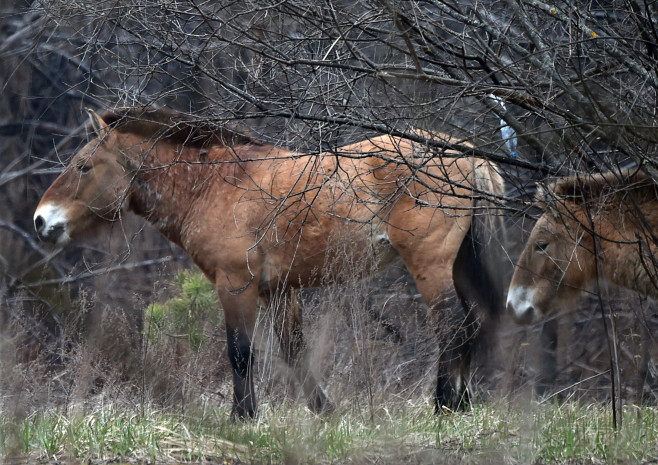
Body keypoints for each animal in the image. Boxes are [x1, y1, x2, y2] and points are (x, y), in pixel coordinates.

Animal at [36, 106, 504, 416]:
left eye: (83, 166)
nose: (42, 220)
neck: (212, 185)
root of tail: (466, 153)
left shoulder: (235, 285)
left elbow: (240, 353)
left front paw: (243, 417)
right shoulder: (278, 291)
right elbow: (294, 352)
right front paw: (324, 411)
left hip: (430, 264)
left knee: (451, 324)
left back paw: (443, 405)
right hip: (458, 263)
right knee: (472, 320)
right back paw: (462, 404)